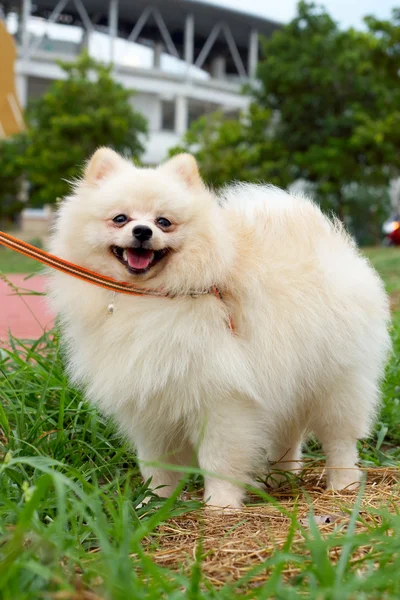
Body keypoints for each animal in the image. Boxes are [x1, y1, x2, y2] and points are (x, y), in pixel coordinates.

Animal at [47, 148, 390, 508]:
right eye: (120, 219)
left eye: (163, 222)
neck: (148, 297)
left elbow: (218, 459)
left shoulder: (221, 399)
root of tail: (326, 238)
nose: (142, 232)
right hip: (291, 380)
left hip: (336, 383)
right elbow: (156, 465)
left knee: (340, 438)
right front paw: (155, 502)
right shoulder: (151, 404)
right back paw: (280, 478)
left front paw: (220, 505)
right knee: (288, 435)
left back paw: (343, 483)